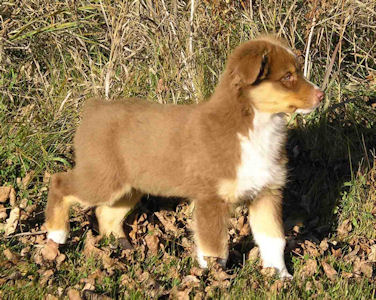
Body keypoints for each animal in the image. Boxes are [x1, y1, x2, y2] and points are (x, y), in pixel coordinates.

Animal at [45, 36, 324, 278]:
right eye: (287, 76)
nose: (322, 95)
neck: (255, 127)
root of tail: (94, 108)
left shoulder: (267, 193)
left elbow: (273, 239)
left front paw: (281, 276)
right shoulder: (211, 198)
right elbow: (214, 249)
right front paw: (214, 278)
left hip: (130, 185)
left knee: (106, 214)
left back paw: (123, 247)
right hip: (103, 177)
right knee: (60, 182)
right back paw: (57, 234)